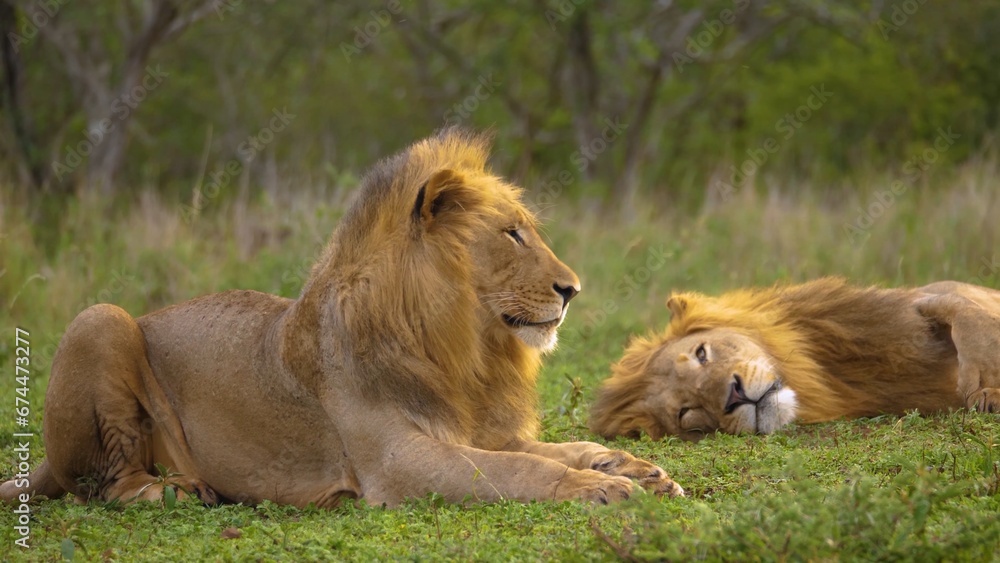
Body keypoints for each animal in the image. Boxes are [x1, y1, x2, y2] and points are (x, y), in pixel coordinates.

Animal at [0, 130, 681, 509]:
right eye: (512, 233)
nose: (573, 290)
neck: (464, 346)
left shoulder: (475, 427)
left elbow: (567, 447)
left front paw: (636, 469)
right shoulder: (398, 461)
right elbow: (524, 468)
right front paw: (599, 489)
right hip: (100, 317)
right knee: (104, 484)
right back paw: (166, 491)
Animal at [590, 277, 1000, 441]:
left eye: (701, 353)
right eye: (687, 413)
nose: (734, 396)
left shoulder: (908, 312)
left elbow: (964, 312)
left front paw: (984, 385)